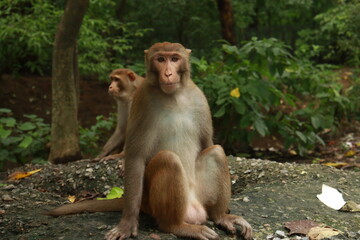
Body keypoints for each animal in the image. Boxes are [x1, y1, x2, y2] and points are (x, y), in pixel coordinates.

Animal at [46, 42, 252, 239]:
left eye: (174, 58)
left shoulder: (199, 98)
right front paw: (128, 222)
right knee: (168, 159)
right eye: (160, 59)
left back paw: (220, 216)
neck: (174, 96)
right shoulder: (142, 99)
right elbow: (136, 156)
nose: (168, 73)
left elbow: (207, 142)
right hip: (151, 200)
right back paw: (176, 226)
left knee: (216, 152)